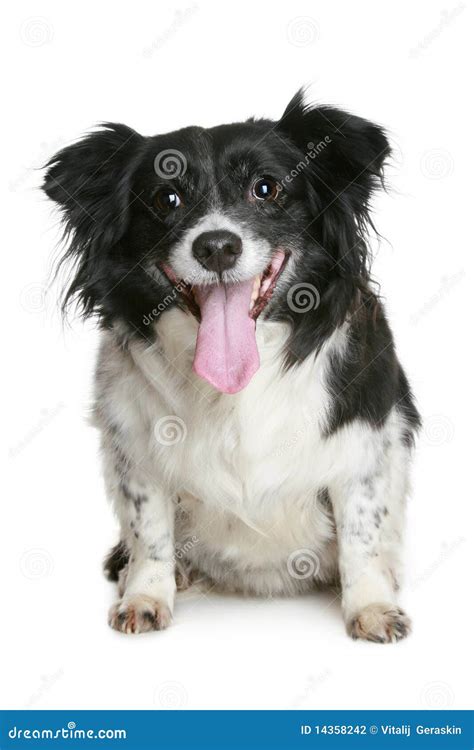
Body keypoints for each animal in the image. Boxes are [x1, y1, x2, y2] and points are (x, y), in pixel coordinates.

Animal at [43, 91, 418, 644]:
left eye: (266, 188)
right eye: (167, 199)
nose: (216, 246)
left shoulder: (366, 441)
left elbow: (361, 531)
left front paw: (371, 606)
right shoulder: (133, 451)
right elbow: (149, 530)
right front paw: (146, 595)